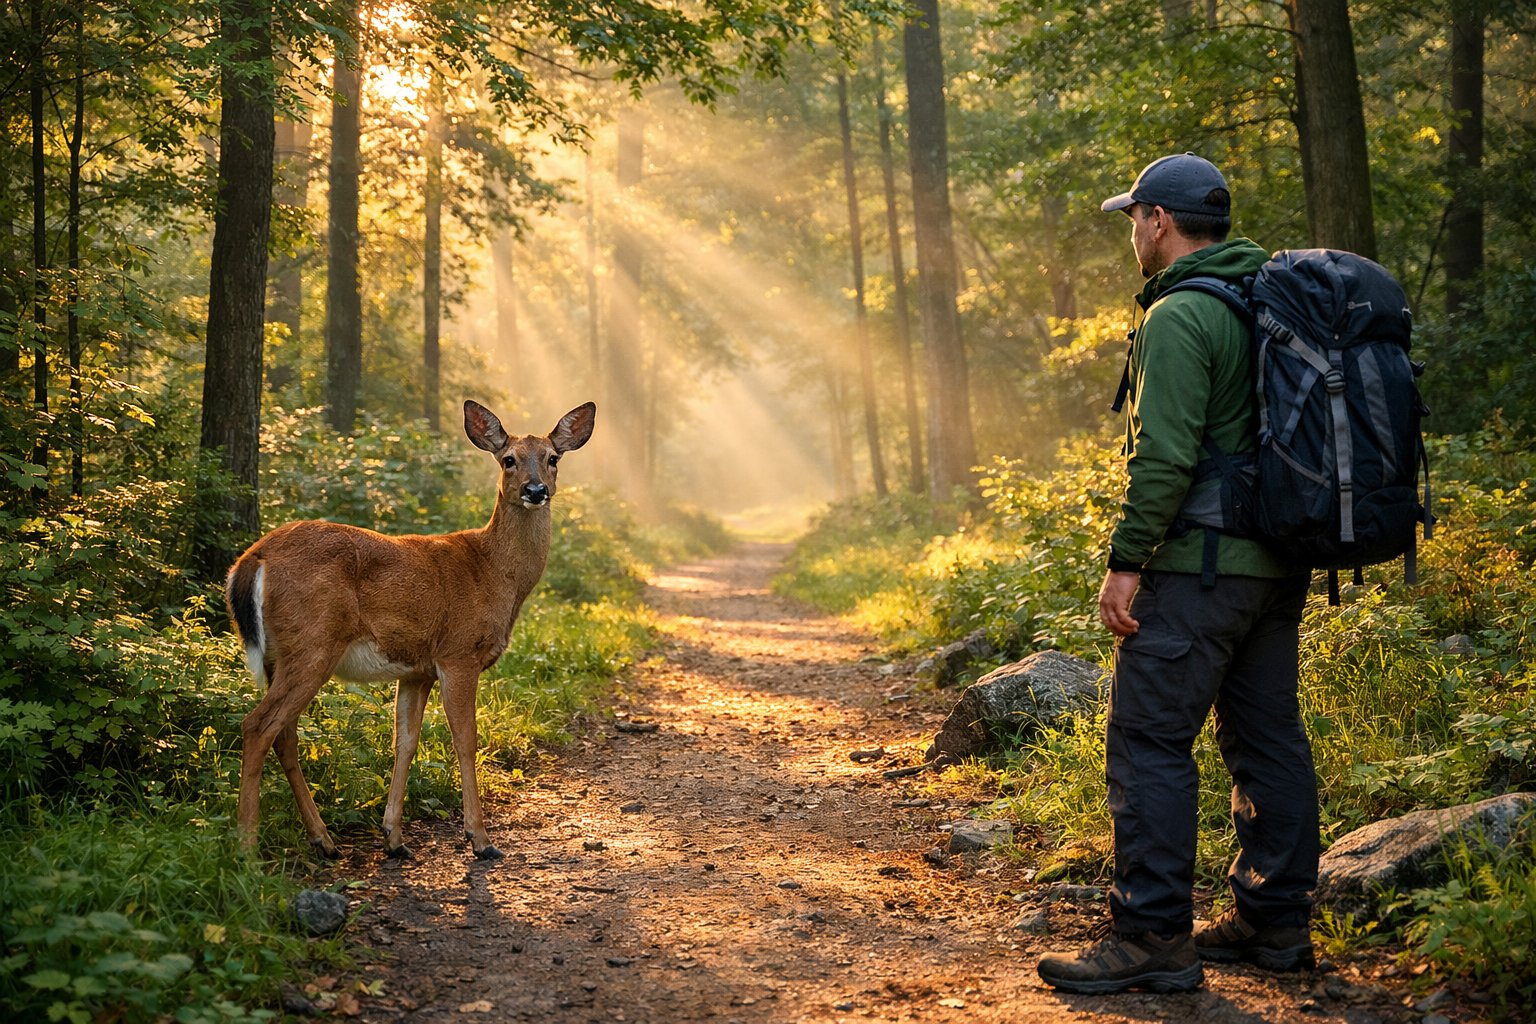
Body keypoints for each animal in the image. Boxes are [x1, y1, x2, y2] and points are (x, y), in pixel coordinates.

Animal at [225, 400, 595, 860]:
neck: (495, 573)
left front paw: (394, 837)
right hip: (313, 643)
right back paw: (246, 848)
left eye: (553, 458)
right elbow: (466, 739)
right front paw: (480, 838)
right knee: (258, 726)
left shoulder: (417, 670)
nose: (535, 490)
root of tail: (251, 560)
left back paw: (323, 839)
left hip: (282, 654)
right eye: (509, 459)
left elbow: (405, 741)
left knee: (284, 734)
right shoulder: (458, 652)